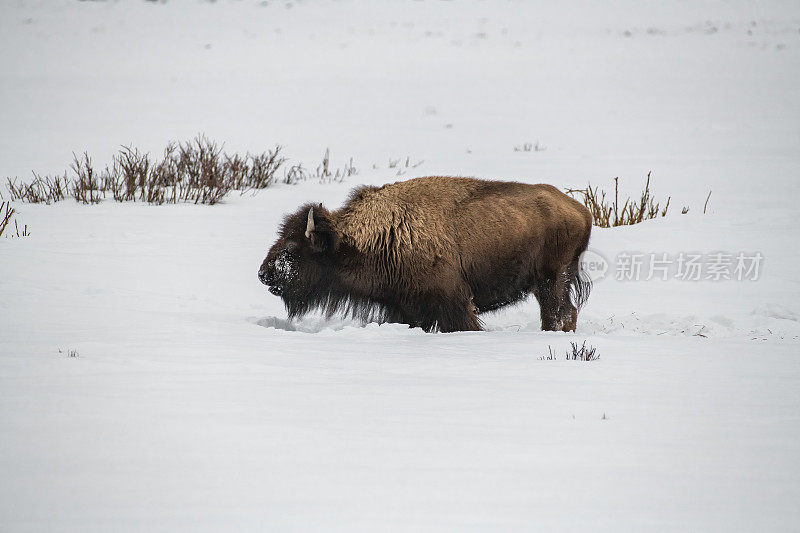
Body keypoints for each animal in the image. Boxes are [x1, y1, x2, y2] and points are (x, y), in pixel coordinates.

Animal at [260, 175, 592, 332]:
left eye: (292, 248)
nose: (264, 273)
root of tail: (581, 210)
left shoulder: (454, 304)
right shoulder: (406, 308)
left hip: (551, 280)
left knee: (559, 313)